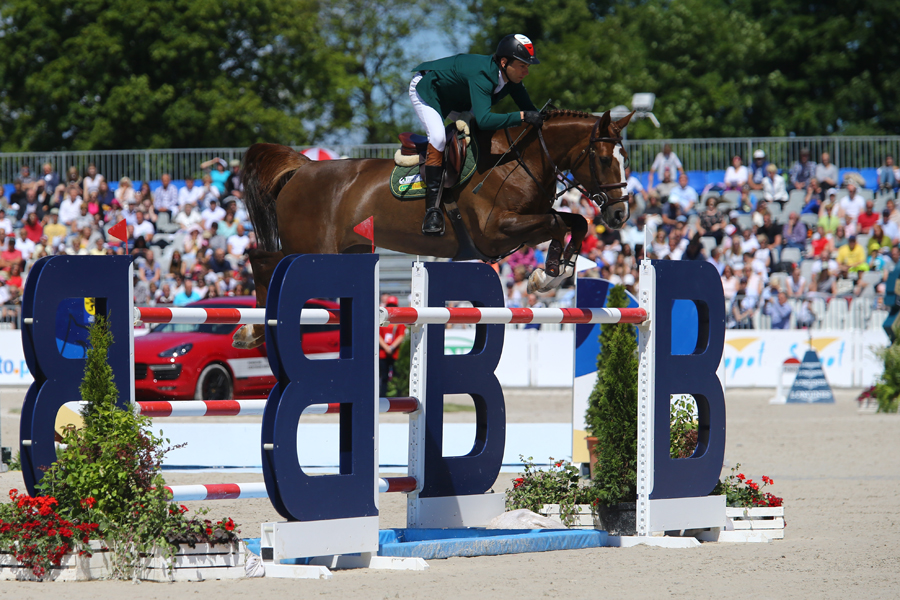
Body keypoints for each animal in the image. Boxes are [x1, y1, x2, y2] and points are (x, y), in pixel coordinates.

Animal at [233, 109, 635, 349]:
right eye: (603, 159)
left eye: (625, 158)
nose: (619, 214)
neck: (520, 162)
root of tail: (302, 168)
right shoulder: (496, 231)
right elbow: (559, 221)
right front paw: (548, 274)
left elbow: (573, 221)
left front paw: (554, 271)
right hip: (310, 248)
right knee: (261, 259)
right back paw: (252, 329)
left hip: (342, 250)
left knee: (265, 260)